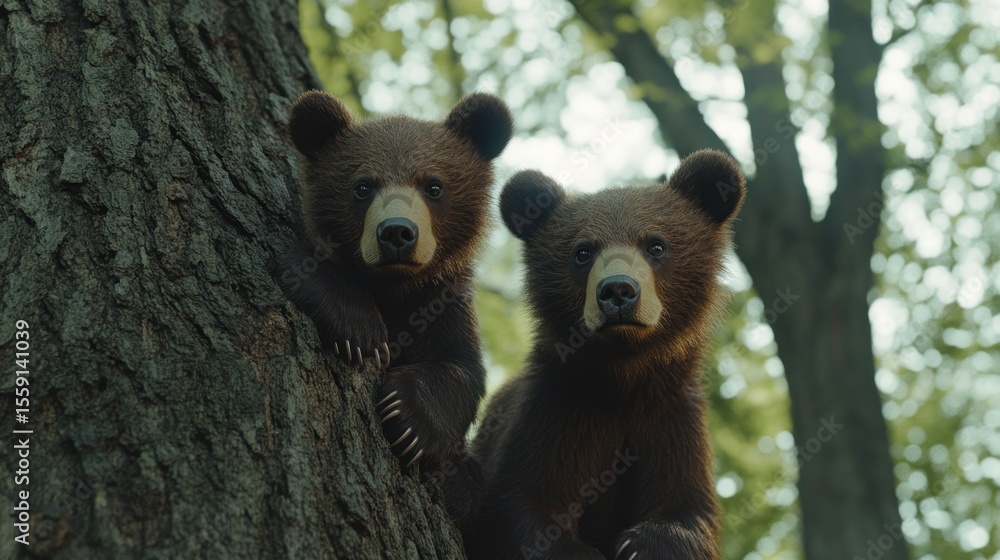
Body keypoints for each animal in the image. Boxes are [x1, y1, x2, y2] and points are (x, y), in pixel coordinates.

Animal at [273, 90, 514, 518]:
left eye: (433, 186)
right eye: (362, 187)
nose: (397, 232)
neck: (396, 288)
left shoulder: (443, 302)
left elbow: (462, 368)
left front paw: (411, 420)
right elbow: (310, 270)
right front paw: (362, 333)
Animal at [463, 149, 746, 559]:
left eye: (656, 244)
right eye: (582, 251)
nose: (617, 291)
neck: (623, 374)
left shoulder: (669, 417)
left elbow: (687, 507)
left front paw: (644, 544)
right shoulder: (560, 410)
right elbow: (520, 503)